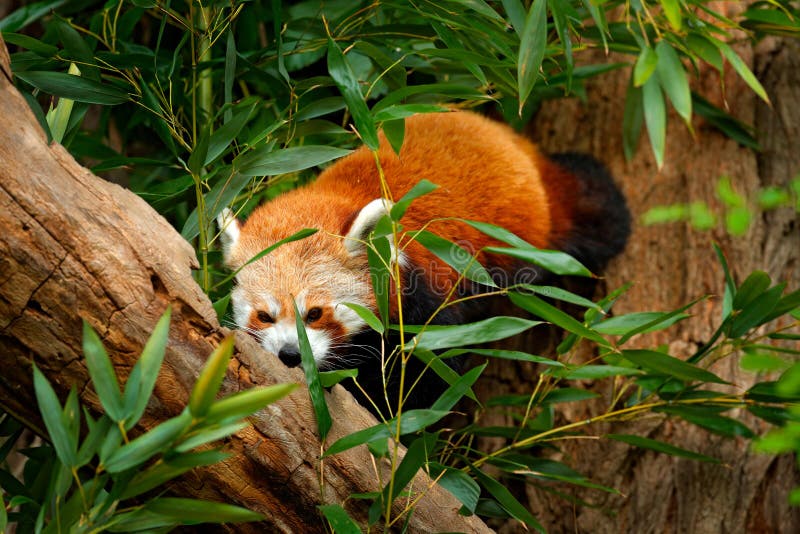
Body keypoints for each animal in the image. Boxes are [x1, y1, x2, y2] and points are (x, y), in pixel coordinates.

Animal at [220, 112, 632, 414]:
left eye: (315, 314)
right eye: (265, 316)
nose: (290, 355)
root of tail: (507, 140)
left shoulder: (427, 296)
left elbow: (433, 371)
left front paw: (391, 417)